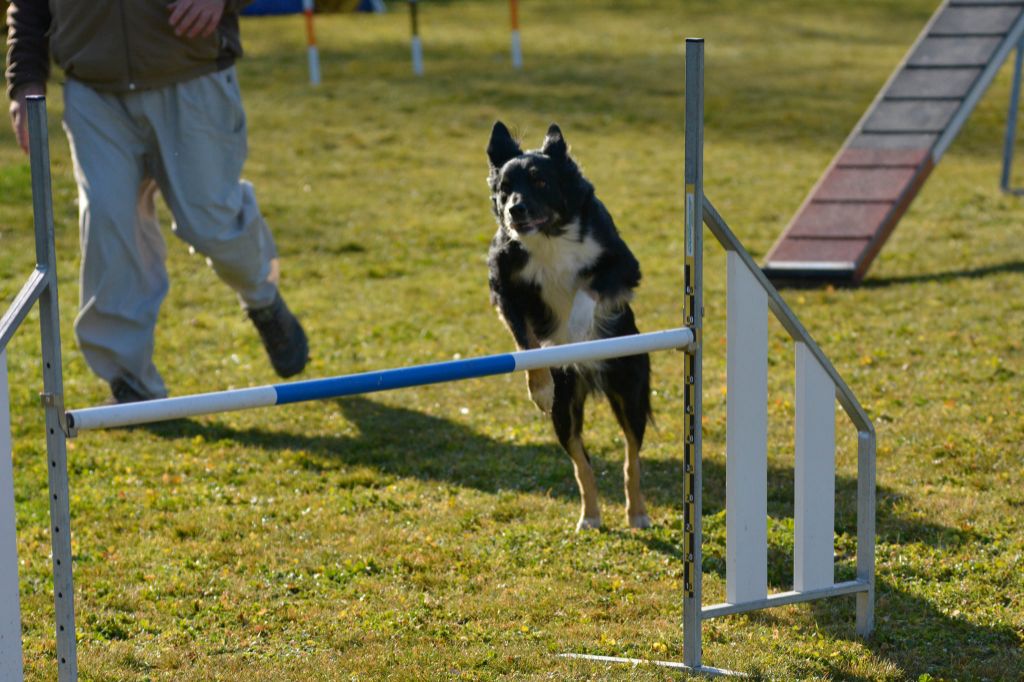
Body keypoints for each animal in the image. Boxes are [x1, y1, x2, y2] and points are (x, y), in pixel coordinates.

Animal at [483, 122, 651, 532]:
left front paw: (575, 332)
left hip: (631, 390)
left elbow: (588, 289)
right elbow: (526, 342)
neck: (549, 234)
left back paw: (637, 512)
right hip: (566, 408)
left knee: (631, 456)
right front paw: (539, 386)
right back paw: (590, 515)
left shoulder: (623, 264)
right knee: (581, 461)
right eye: (504, 187)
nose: (514, 210)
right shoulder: (505, 286)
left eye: (540, 181)